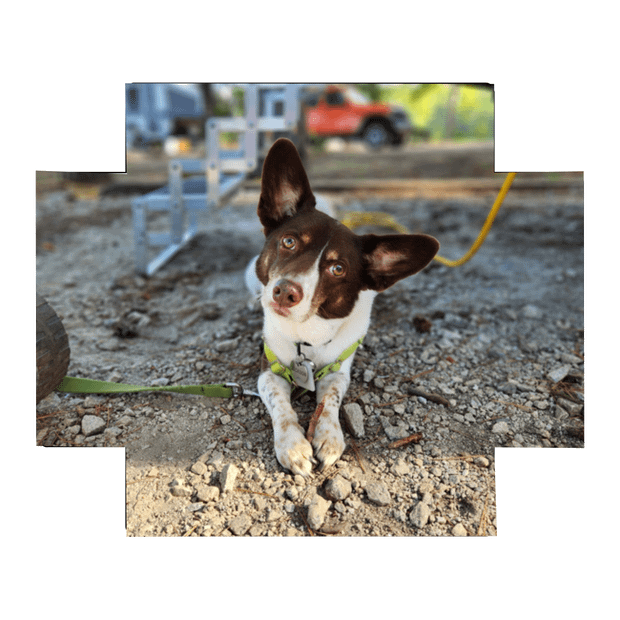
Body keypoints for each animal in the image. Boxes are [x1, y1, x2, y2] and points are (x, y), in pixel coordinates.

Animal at [245, 140, 438, 478]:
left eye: (337, 269)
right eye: (289, 241)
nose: (285, 292)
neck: (306, 336)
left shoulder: (339, 369)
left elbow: (331, 397)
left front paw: (329, 437)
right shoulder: (269, 369)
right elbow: (279, 402)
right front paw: (293, 445)